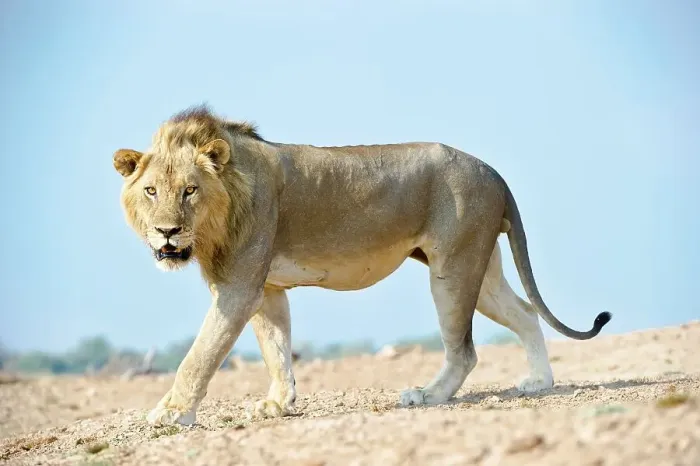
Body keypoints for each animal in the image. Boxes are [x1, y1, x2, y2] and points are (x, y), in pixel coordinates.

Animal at [113, 105, 611, 426]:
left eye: (190, 190)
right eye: (151, 191)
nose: (167, 232)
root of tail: (493, 171)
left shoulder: (238, 288)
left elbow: (199, 356)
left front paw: (171, 413)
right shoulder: (267, 289)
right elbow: (277, 350)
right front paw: (278, 404)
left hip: (453, 269)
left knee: (464, 349)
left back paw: (427, 395)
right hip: (481, 269)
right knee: (525, 314)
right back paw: (539, 382)